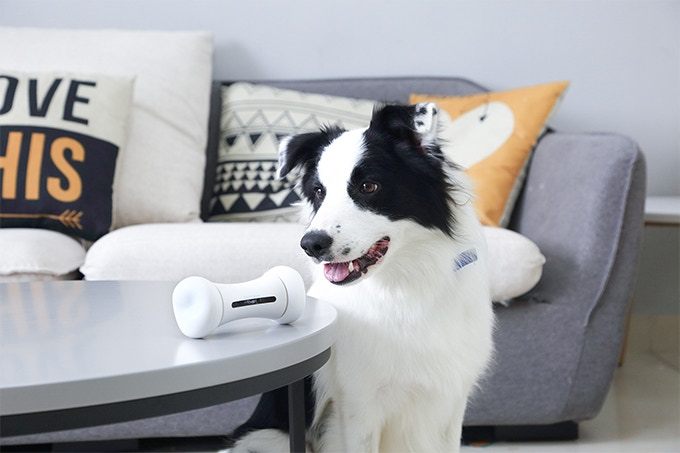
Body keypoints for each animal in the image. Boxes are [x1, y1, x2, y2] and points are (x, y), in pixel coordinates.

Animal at [231, 103, 492, 452]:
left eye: (369, 186)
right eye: (319, 191)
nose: (311, 244)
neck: (405, 285)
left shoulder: (451, 402)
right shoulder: (359, 406)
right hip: (266, 437)